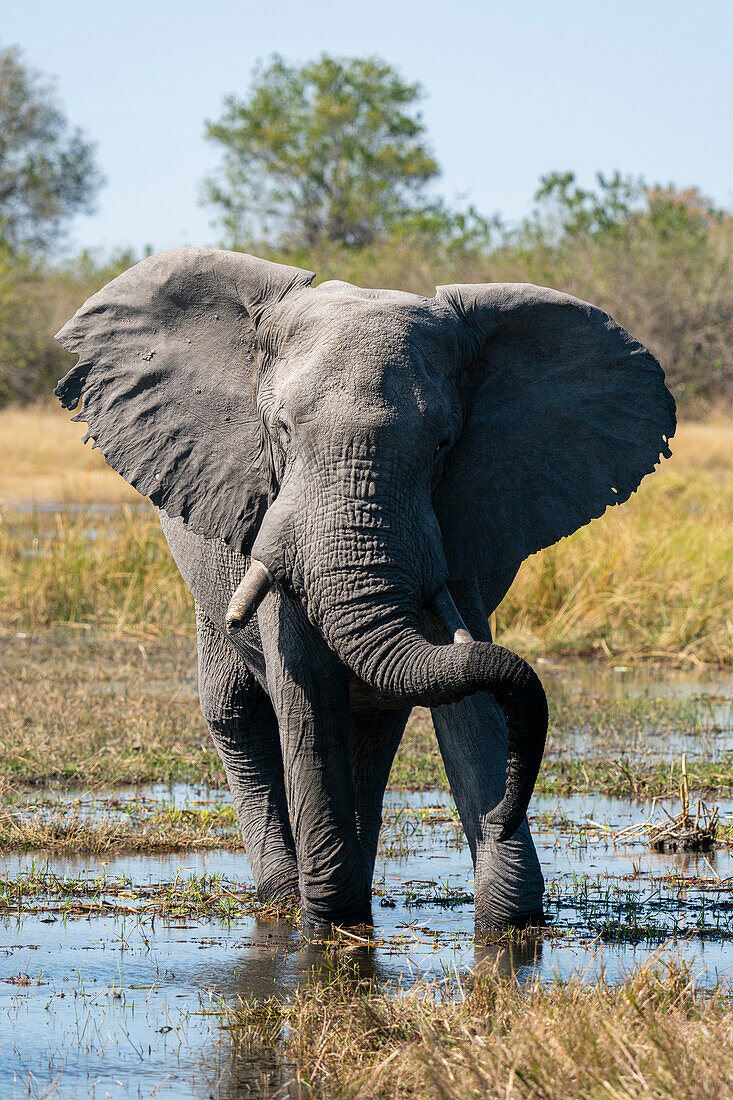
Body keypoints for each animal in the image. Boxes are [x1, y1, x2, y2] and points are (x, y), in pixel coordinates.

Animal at [55, 251, 673, 937]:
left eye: (444, 443)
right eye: (280, 430)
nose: (509, 811)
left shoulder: (464, 517)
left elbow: (465, 694)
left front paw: (510, 928)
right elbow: (305, 695)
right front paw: (328, 928)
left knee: (378, 723)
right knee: (235, 712)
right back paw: (282, 897)